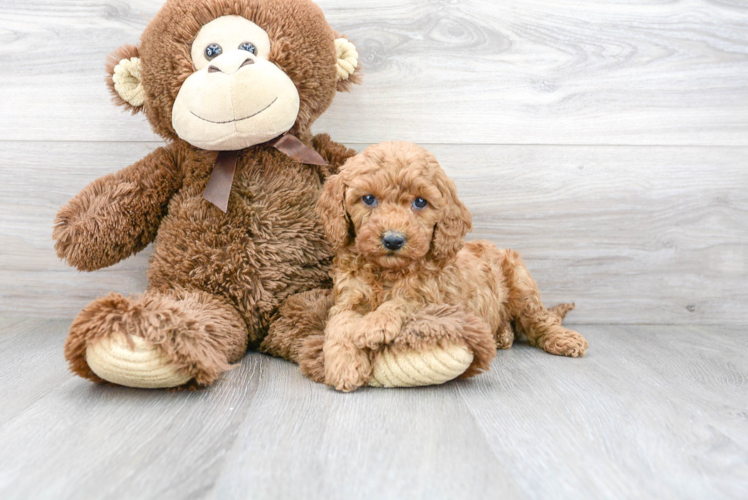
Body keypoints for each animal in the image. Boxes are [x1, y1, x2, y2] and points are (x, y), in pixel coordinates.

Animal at [318, 143, 588, 392]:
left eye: (420, 202)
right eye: (368, 199)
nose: (393, 240)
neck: (388, 270)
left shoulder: (437, 299)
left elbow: (404, 301)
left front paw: (375, 324)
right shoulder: (348, 298)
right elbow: (340, 326)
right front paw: (345, 367)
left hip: (521, 283)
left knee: (540, 319)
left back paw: (564, 338)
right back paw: (502, 334)